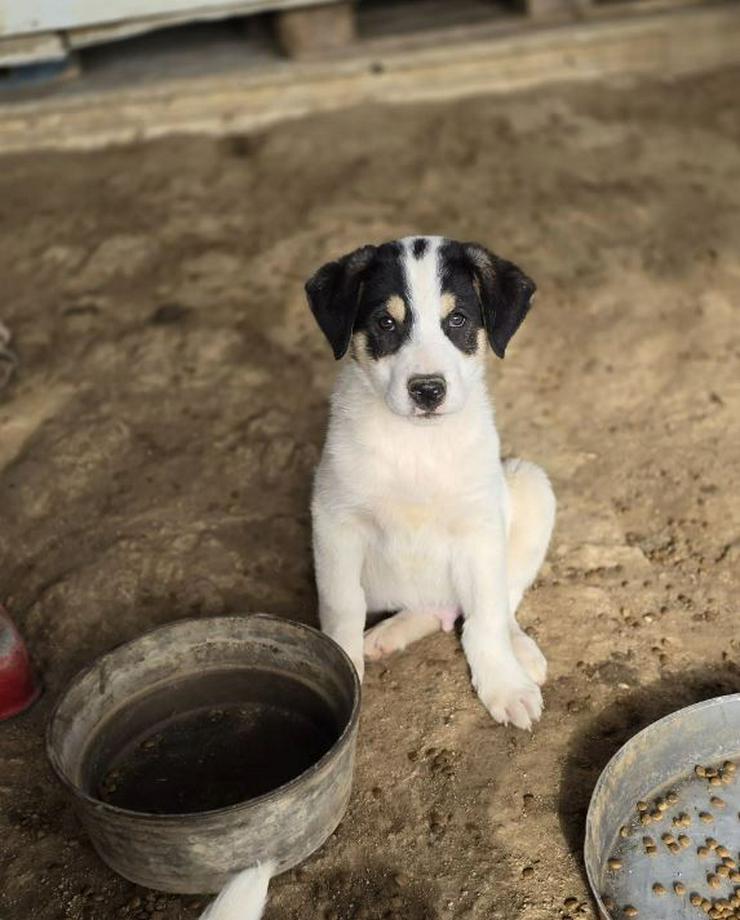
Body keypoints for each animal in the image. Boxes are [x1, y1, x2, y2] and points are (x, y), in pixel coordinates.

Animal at [306, 237, 556, 732]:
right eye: (386, 322)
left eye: (456, 320)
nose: (427, 390)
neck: (417, 443)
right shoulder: (334, 521)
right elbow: (343, 609)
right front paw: (347, 676)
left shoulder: (479, 529)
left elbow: (486, 619)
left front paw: (504, 685)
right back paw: (388, 632)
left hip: (531, 485)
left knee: (502, 601)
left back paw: (520, 652)